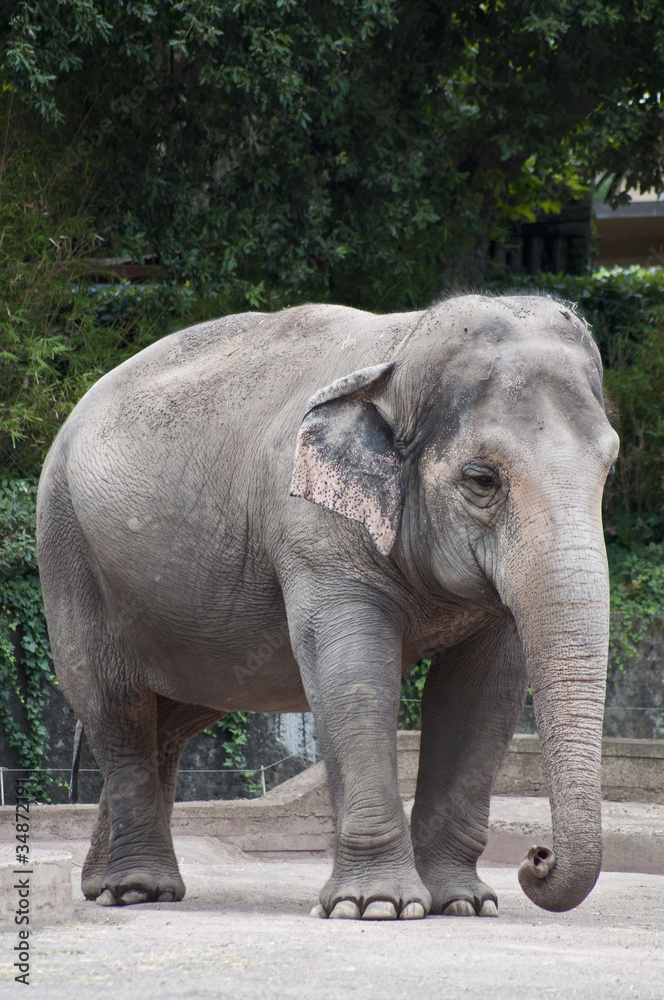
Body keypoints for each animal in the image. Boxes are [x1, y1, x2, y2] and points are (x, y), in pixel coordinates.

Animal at [36, 292, 619, 919]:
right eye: (482, 478)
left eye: (609, 465)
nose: (537, 858)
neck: (400, 356)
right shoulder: (312, 526)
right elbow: (354, 670)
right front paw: (378, 906)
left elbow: (484, 693)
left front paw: (463, 904)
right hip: (67, 550)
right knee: (114, 706)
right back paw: (138, 889)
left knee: (171, 721)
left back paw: (111, 887)